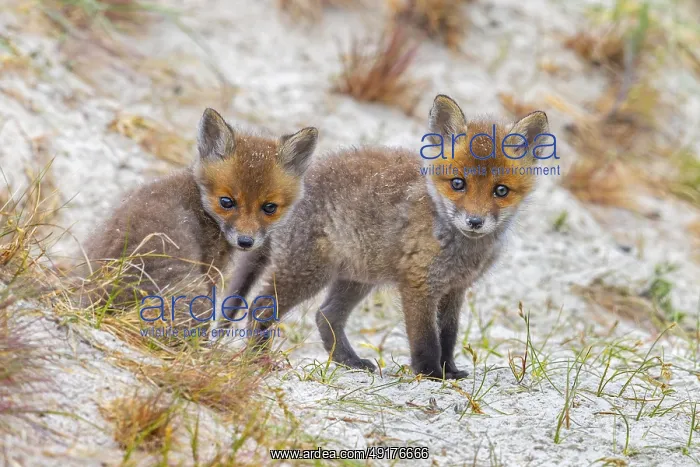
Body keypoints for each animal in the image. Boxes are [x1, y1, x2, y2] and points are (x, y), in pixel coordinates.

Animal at [229, 94, 548, 379]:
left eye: (501, 190)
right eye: (458, 183)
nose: (475, 221)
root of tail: (280, 196)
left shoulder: (455, 290)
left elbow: (448, 336)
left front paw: (450, 370)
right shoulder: (418, 284)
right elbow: (426, 339)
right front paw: (431, 374)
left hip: (356, 279)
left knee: (325, 315)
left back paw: (349, 361)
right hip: (307, 273)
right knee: (260, 308)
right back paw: (259, 359)